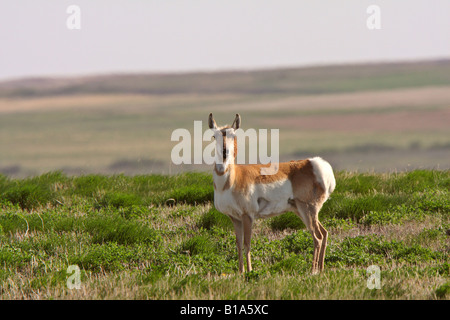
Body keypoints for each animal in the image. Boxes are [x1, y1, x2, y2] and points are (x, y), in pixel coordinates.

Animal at [209, 112, 336, 272]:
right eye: (214, 136)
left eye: (233, 135)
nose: (225, 153)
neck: (231, 179)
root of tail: (313, 163)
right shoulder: (235, 218)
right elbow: (238, 244)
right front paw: (240, 271)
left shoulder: (247, 216)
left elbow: (247, 243)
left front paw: (249, 272)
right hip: (302, 211)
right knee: (324, 233)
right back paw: (321, 268)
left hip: (308, 210)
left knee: (317, 237)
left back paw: (313, 270)